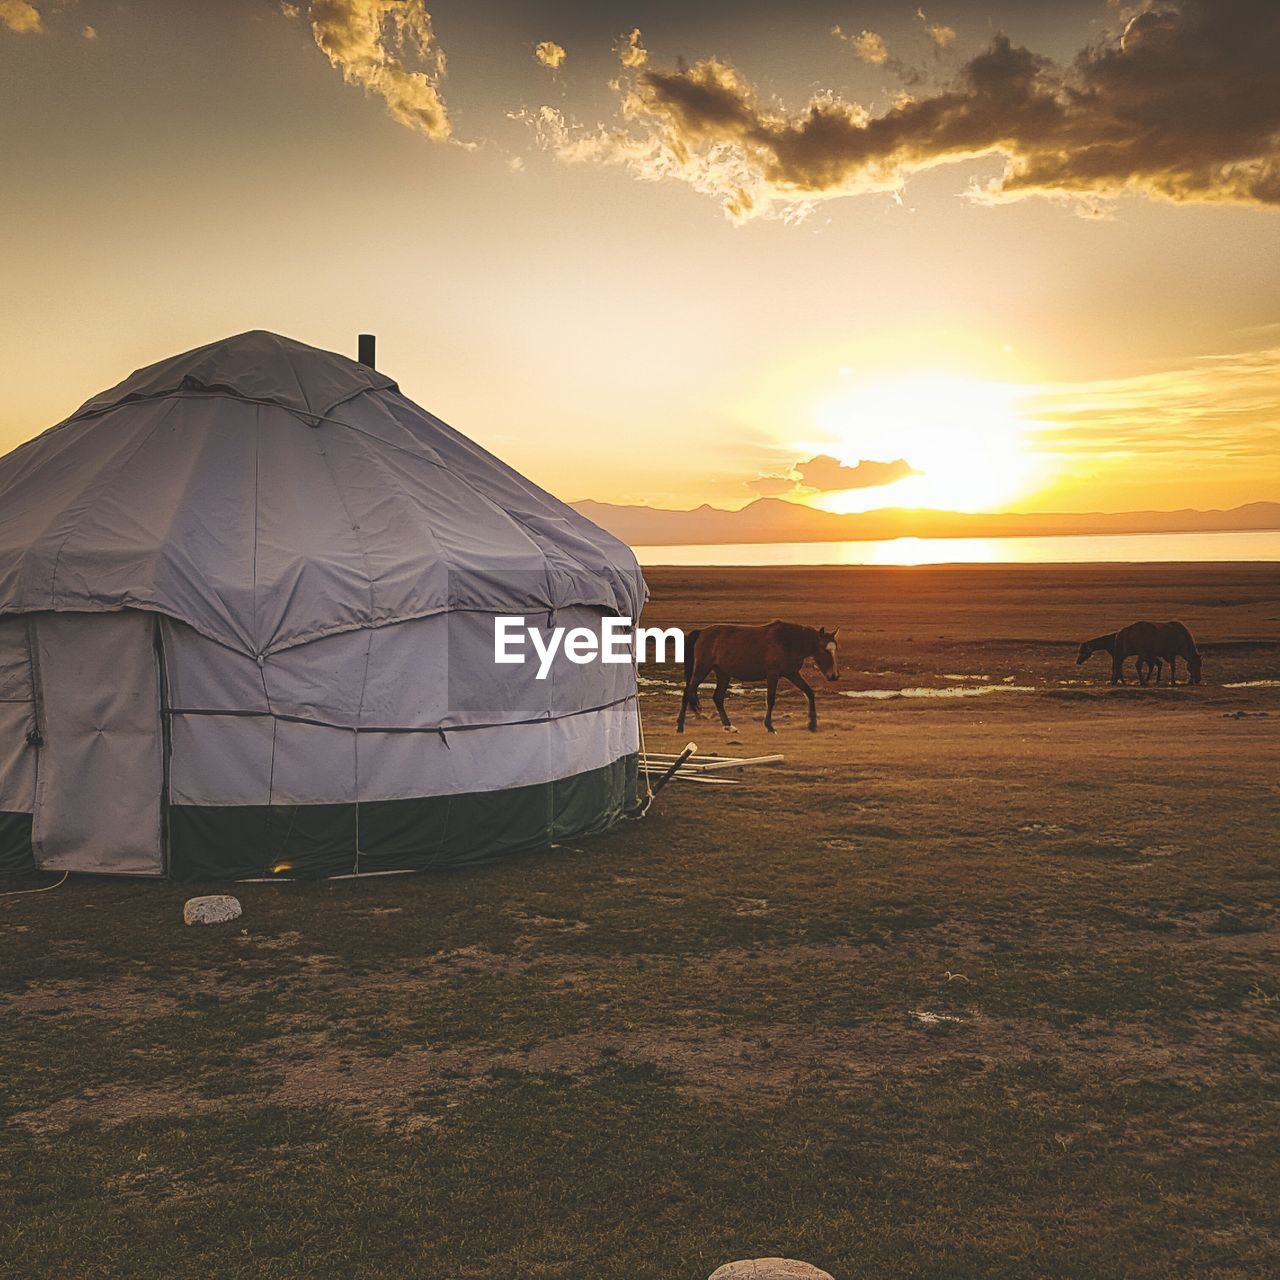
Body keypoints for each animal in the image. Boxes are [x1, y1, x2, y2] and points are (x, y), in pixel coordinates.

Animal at [675, 616, 844, 732]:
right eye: (824, 650)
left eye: (835, 649)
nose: (834, 675)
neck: (788, 642)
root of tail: (702, 632)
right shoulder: (773, 674)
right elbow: (770, 699)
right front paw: (769, 726)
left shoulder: (792, 674)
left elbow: (809, 693)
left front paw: (812, 724)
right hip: (702, 669)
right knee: (687, 692)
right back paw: (680, 726)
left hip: (723, 673)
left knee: (717, 697)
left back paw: (729, 726)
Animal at [1075, 616, 1203, 686]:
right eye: (1197, 665)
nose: (1198, 680)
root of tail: (1124, 631)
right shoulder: (1172, 653)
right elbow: (1173, 667)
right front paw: (1173, 682)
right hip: (1142, 653)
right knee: (1139, 665)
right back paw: (1142, 681)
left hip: (1138, 654)